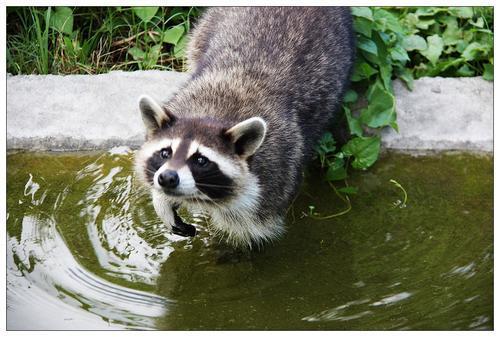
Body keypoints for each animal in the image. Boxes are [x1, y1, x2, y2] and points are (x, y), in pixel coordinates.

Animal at [135, 7, 354, 247]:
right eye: (165, 153)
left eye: (201, 160)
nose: (167, 178)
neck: (210, 114)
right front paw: (162, 201)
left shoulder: (275, 177)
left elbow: (252, 231)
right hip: (205, 27)